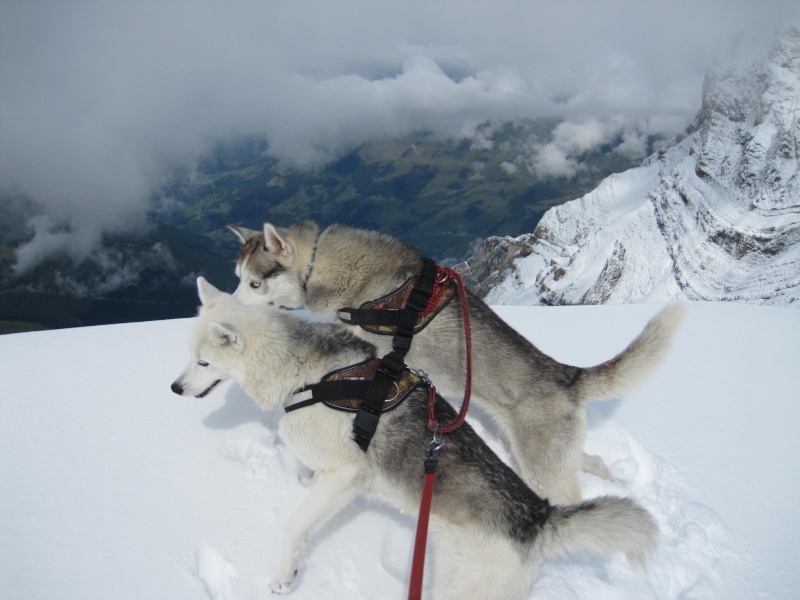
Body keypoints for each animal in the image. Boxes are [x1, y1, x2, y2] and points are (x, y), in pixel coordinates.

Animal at [170, 278, 656, 596]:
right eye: (188, 357)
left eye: (204, 363)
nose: (174, 389)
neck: (304, 374)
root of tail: (536, 518)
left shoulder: (344, 475)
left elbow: (294, 527)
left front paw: (285, 575)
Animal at [228, 223, 684, 504]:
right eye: (236, 279)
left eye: (254, 283)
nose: (227, 313)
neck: (321, 265)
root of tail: (566, 376)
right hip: (543, 454)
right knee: (592, 463)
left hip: (540, 467)